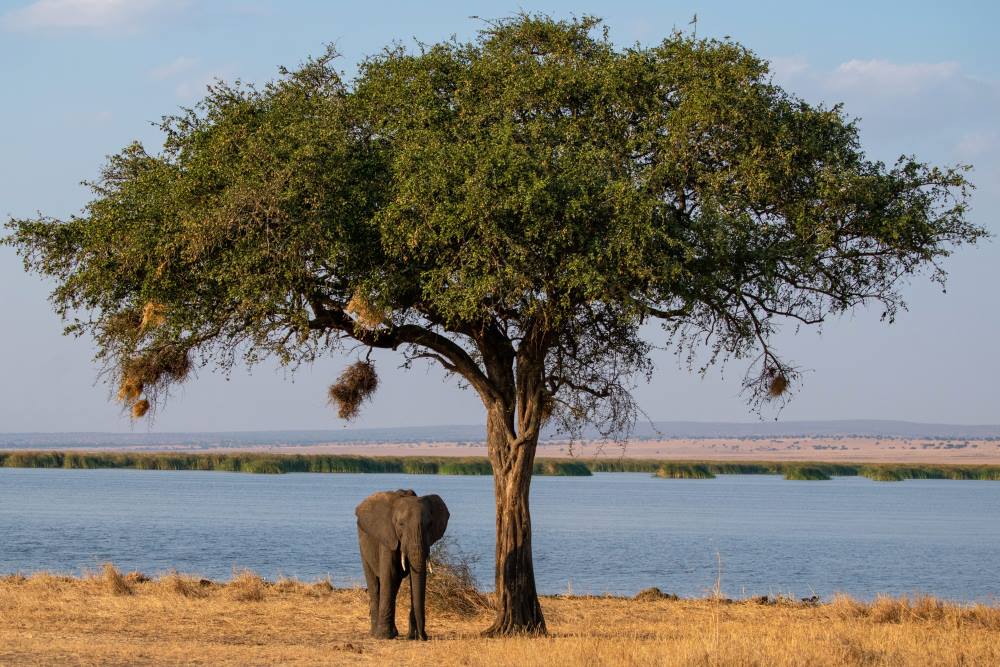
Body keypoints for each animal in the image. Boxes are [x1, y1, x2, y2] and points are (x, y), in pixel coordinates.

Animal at [355, 489, 449, 640]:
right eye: (400, 524)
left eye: (430, 524)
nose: (424, 636)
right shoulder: (388, 536)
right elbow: (389, 573)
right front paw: (383, 636)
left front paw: (412, 636)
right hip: (362, 544)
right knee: (374, 584)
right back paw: (375, 633)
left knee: (394, 586)